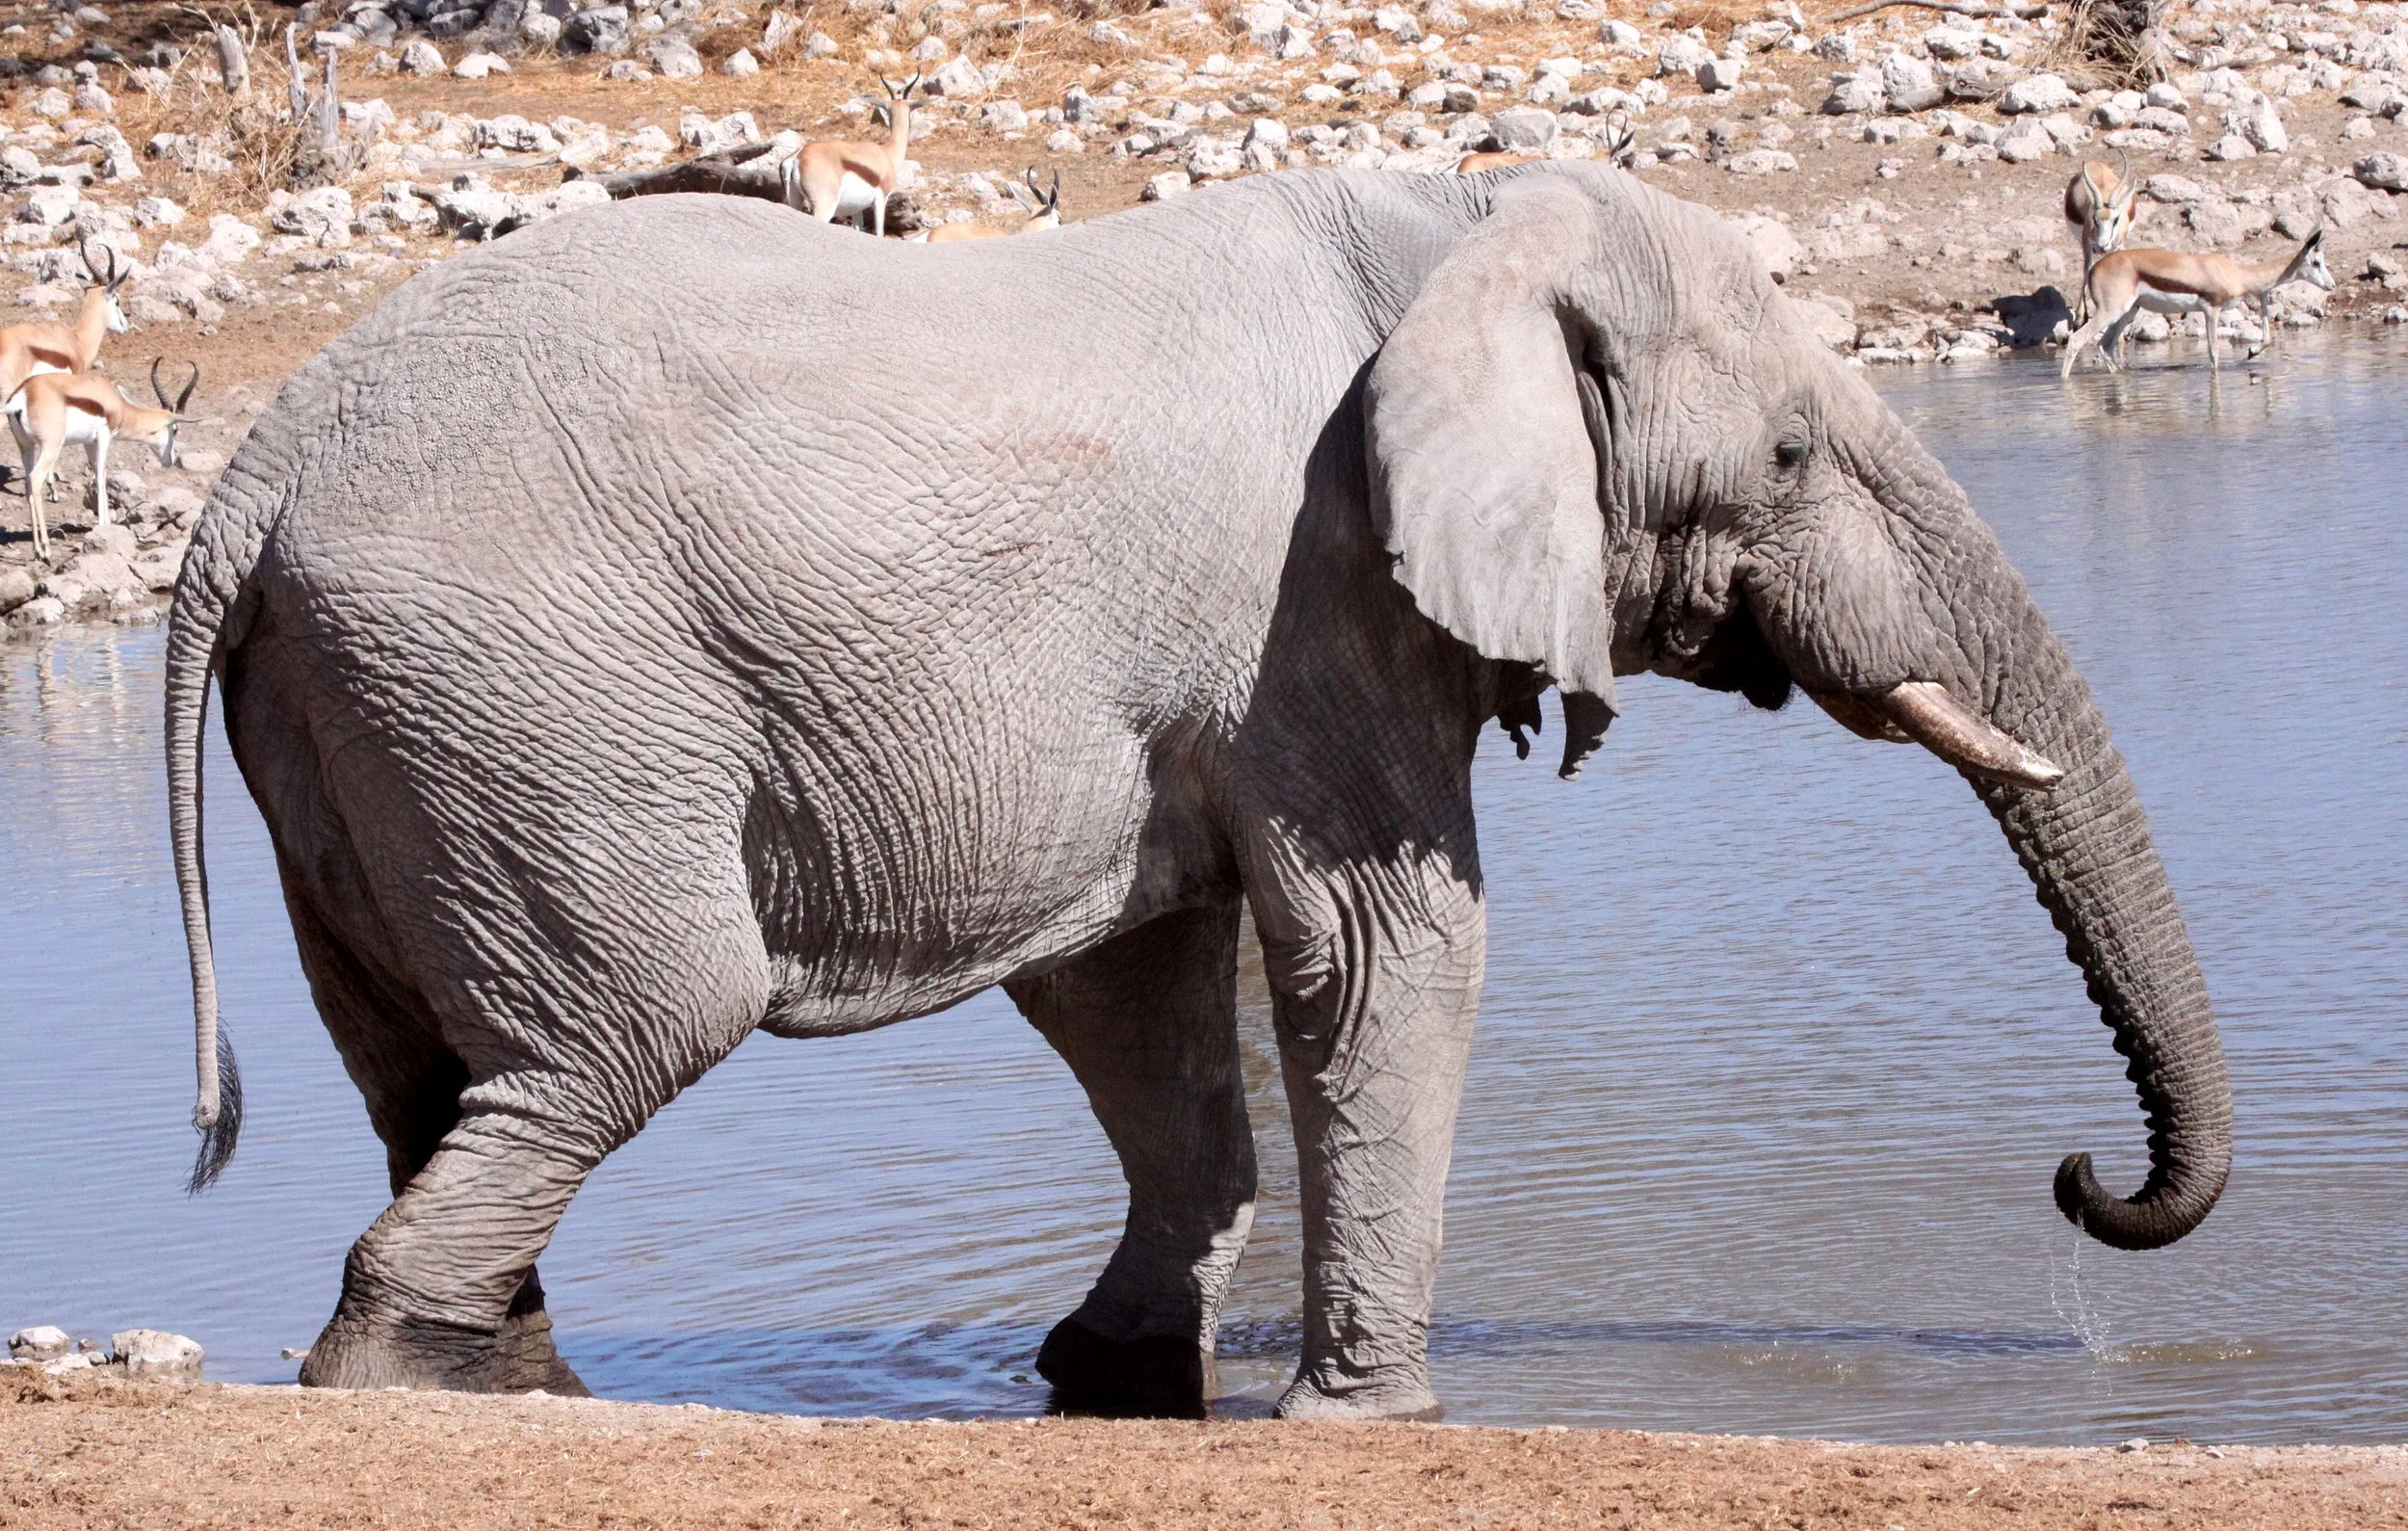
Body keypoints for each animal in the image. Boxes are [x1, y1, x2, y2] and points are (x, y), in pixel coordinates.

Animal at [165, 163, 2231, 1421]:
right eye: (1792, 454)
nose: (2081, 1180)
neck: (1460, 224)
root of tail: (247, 482)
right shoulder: (1312, 592)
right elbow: (1391, 943)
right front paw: (1375, 1416)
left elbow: (1133, 973)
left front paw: (1117, 1369)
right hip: (529, 696)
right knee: (634, 1024)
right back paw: (392, 1370)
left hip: (381, 719)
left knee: (426, 1063)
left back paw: (502, 1379)